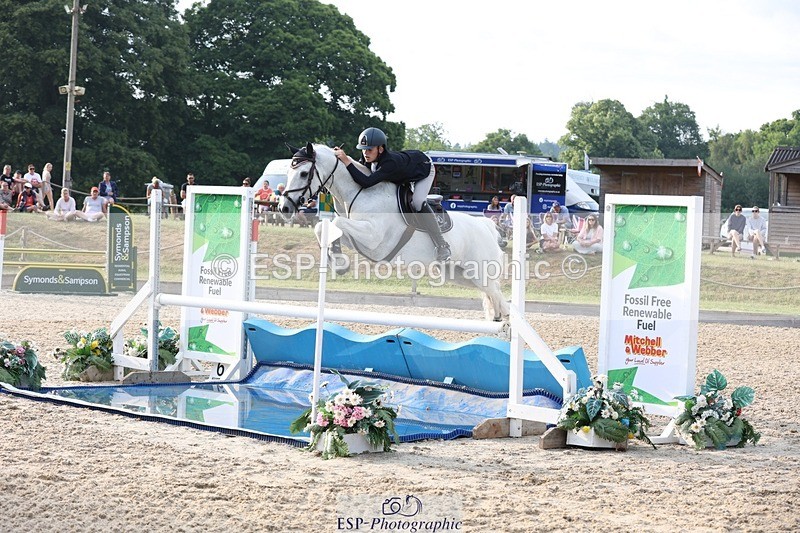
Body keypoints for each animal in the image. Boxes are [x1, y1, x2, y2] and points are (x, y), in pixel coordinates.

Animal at [279, 143, 510, 322]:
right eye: (288, 172)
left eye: (303, 173)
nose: (284, 208)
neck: (360, 192)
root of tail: (487, 227)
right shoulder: (358, 239)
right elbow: (326, 227)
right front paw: (338, 261)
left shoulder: (373, 237)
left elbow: (338, 222)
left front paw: (338, 260)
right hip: (459, 275)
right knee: (492, 295)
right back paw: (498, 318)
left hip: (480, 272)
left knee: (497, 294)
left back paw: (503, 320)